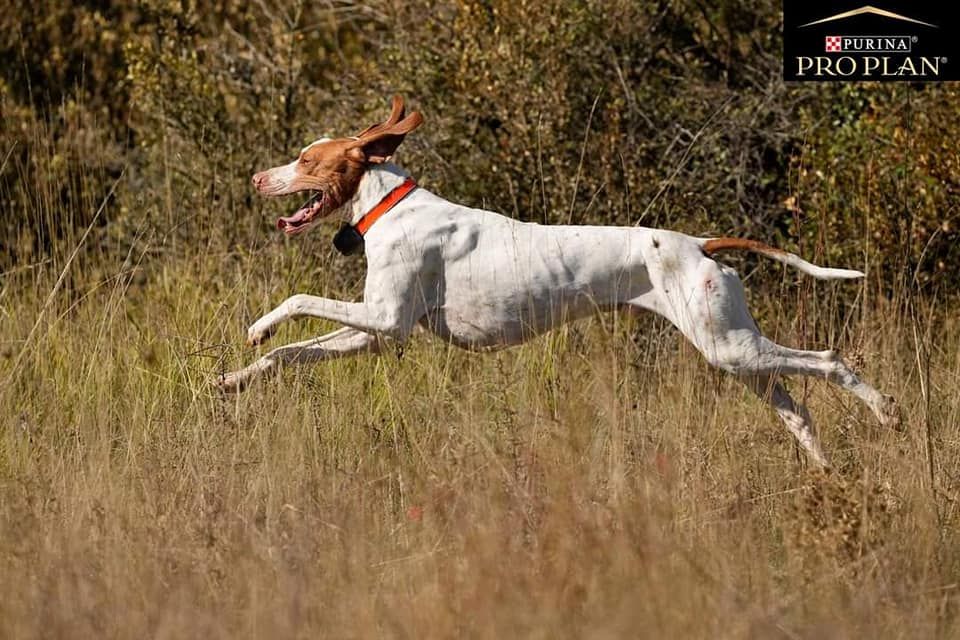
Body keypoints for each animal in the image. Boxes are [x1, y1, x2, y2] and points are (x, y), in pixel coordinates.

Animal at [221, 94, 896, 464]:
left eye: (306, 159)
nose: (256, 177)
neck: (391, 206)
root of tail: (699, 242)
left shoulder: (384, 320)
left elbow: (295, 300)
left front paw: (257, 327)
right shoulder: (377, 333)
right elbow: (290, 354)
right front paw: (235, 378)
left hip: (731, 346)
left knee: (830, 360)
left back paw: (885, 410)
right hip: (733, 353)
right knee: (798, 411)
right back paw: (826, 473)